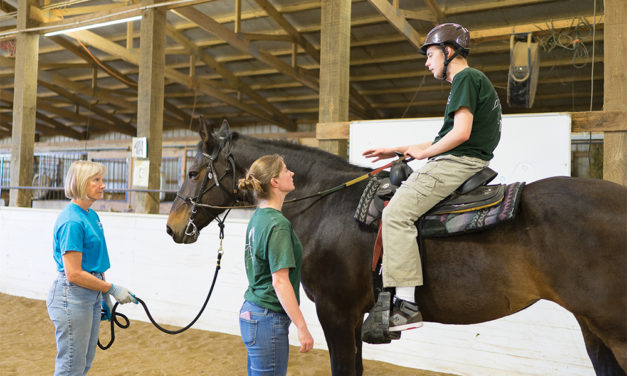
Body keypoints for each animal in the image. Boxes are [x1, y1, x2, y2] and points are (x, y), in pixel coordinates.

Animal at [167, 119, 627, 376]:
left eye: (192, 171)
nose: (173, 227)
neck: (326, 204)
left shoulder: (335, 313)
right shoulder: (353, 316)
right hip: (592, 326)